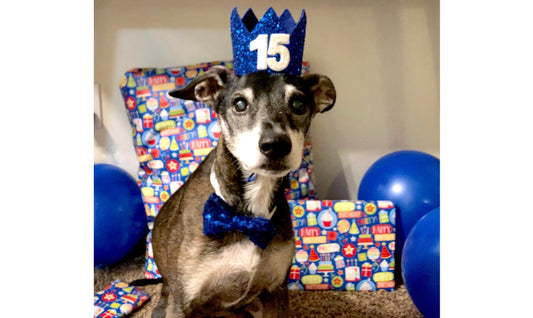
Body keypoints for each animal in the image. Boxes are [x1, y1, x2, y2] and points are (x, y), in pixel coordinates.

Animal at [150, 65, 334, 318]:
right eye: (239, 104)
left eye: (299, 104)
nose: (275, 145)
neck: (246, 215)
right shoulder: (181, 302)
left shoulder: (276, 290)